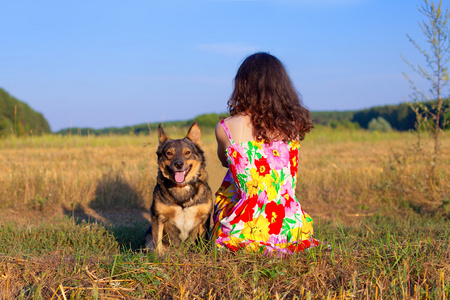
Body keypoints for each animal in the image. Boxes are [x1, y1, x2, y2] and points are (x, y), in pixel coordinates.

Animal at [145, 122, 214, 253]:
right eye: (169, 153)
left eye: (187, 152)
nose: (178, 164)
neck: (182, 187)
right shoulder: (158, 216)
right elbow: (157, 241)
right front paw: (159, 256)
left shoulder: (204, 218)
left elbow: (203, 242)